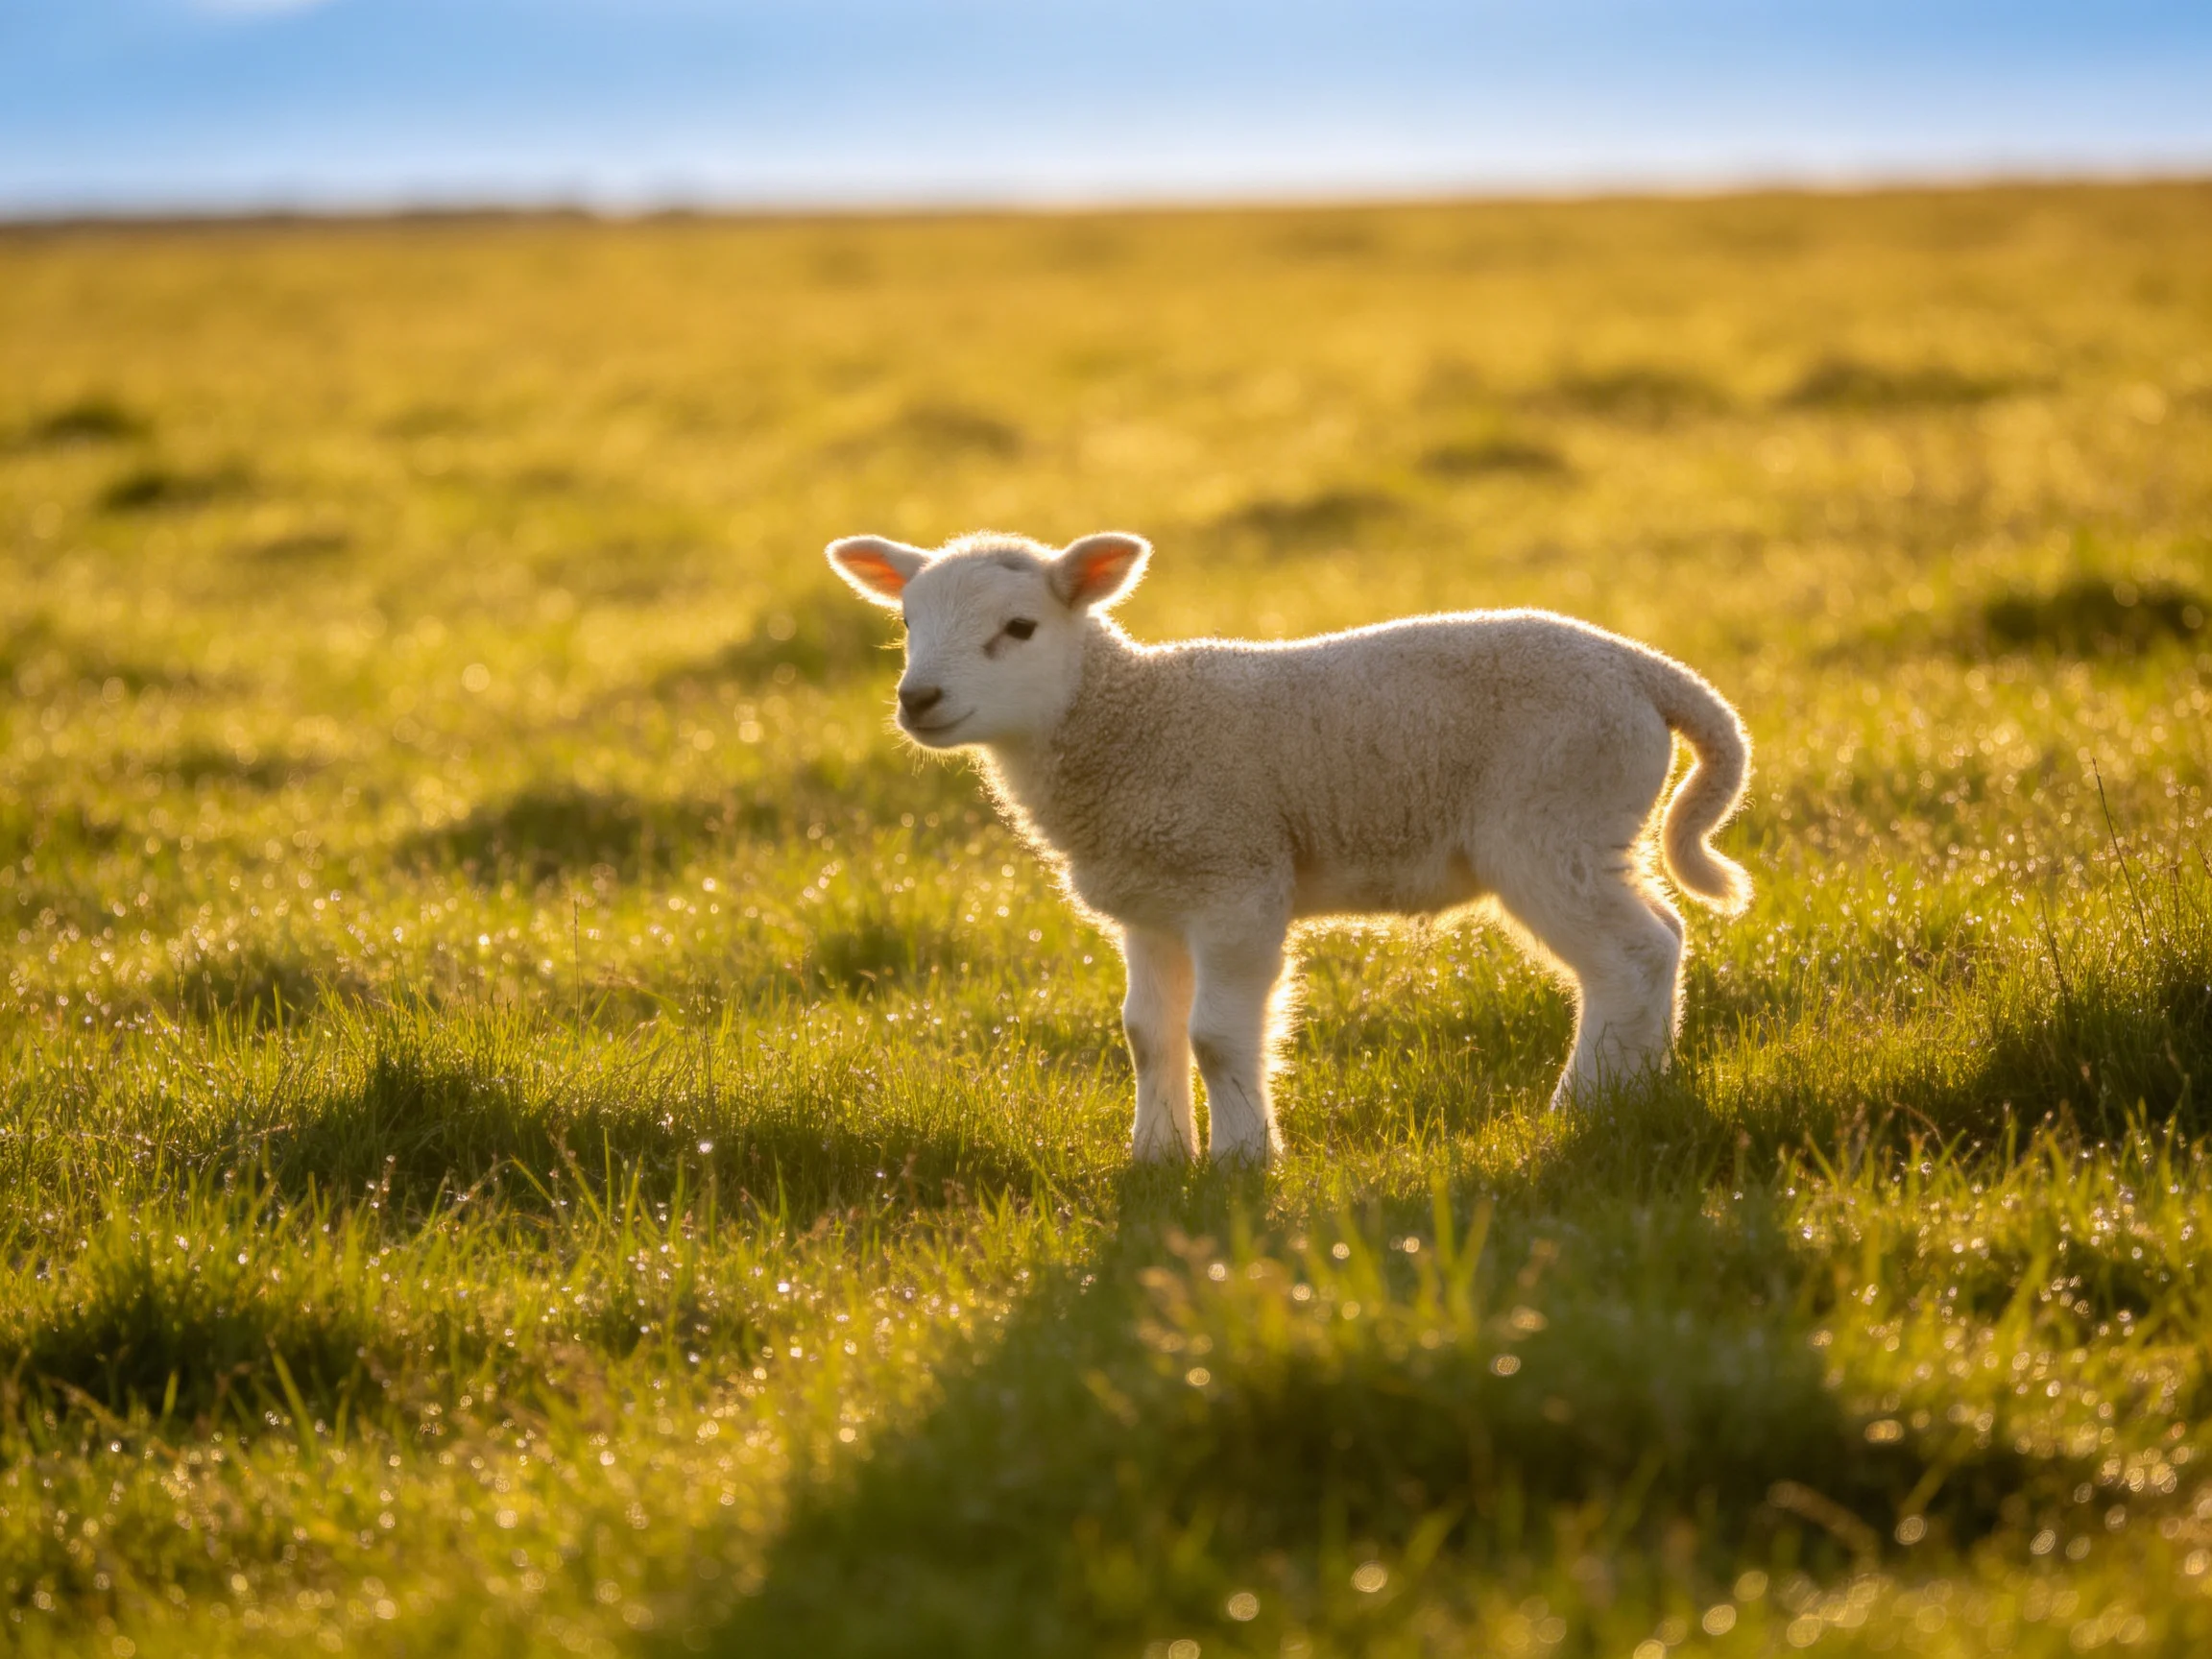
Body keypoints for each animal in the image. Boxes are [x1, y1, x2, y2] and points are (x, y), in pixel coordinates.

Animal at [826, 528, 1751, 1164]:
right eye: (905, 621)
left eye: (1019, 628)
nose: (918, 699)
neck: (1129, 721)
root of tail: (1643, 669)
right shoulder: (1150, 902)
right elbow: (1147, 1033)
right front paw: (1155, 1159)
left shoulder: (1235, 879)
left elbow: (1216, 1036)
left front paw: (1242, 1160)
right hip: (1593, 827)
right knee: (1663, 938)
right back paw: (1643, 1092)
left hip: (1553, 818)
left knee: (1627, 956)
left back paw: (1582, 1107)